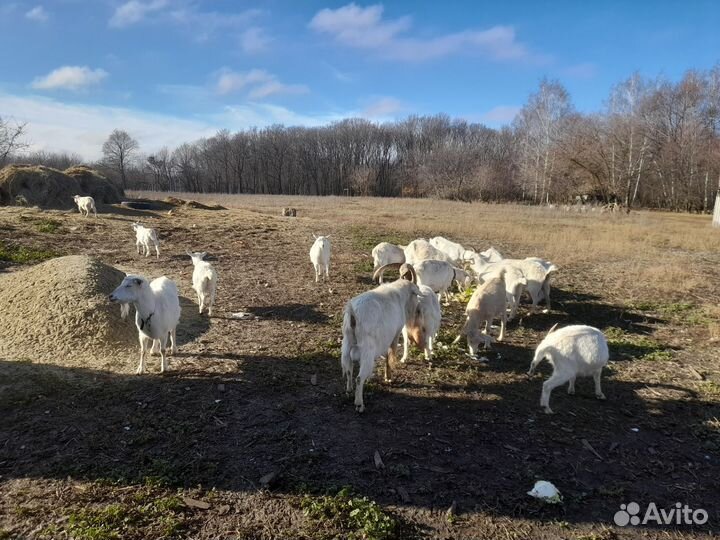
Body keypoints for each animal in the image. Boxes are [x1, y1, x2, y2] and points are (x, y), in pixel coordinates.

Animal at [341, 264, 421, 412]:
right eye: (416, 295)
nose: (415, 311)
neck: (399, 295)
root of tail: (353, 313)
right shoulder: (394, 334)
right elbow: (390, 357)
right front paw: (388, 378)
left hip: (346, 344)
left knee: (348, 370)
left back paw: (349, 392)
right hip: (367, 350)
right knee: (359, 378)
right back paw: (359, 404)